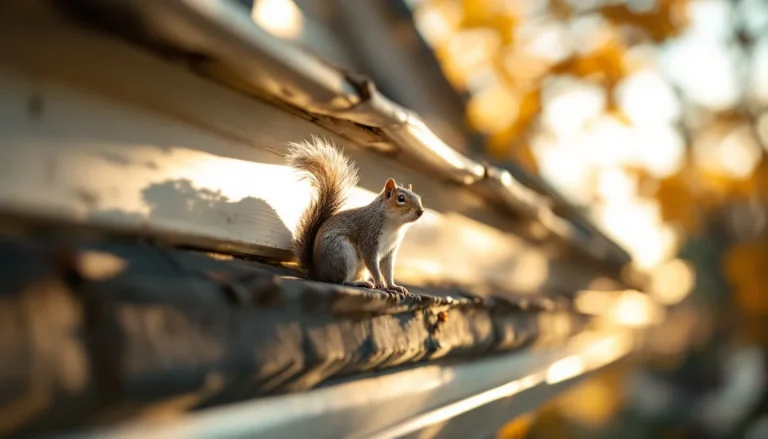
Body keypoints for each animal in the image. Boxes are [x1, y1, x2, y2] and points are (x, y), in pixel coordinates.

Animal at [287, 136, 424, 295]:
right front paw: (380, 283)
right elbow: (372, 262)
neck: (394, 225)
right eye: (401, 198)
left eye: (418, 198)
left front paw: (393, 286)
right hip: (341, 253)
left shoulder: (390, 251)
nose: (421, 211)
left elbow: (387, 269)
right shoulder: (369, 236)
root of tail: (318, 271)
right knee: (340, 281)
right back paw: (358, 283)